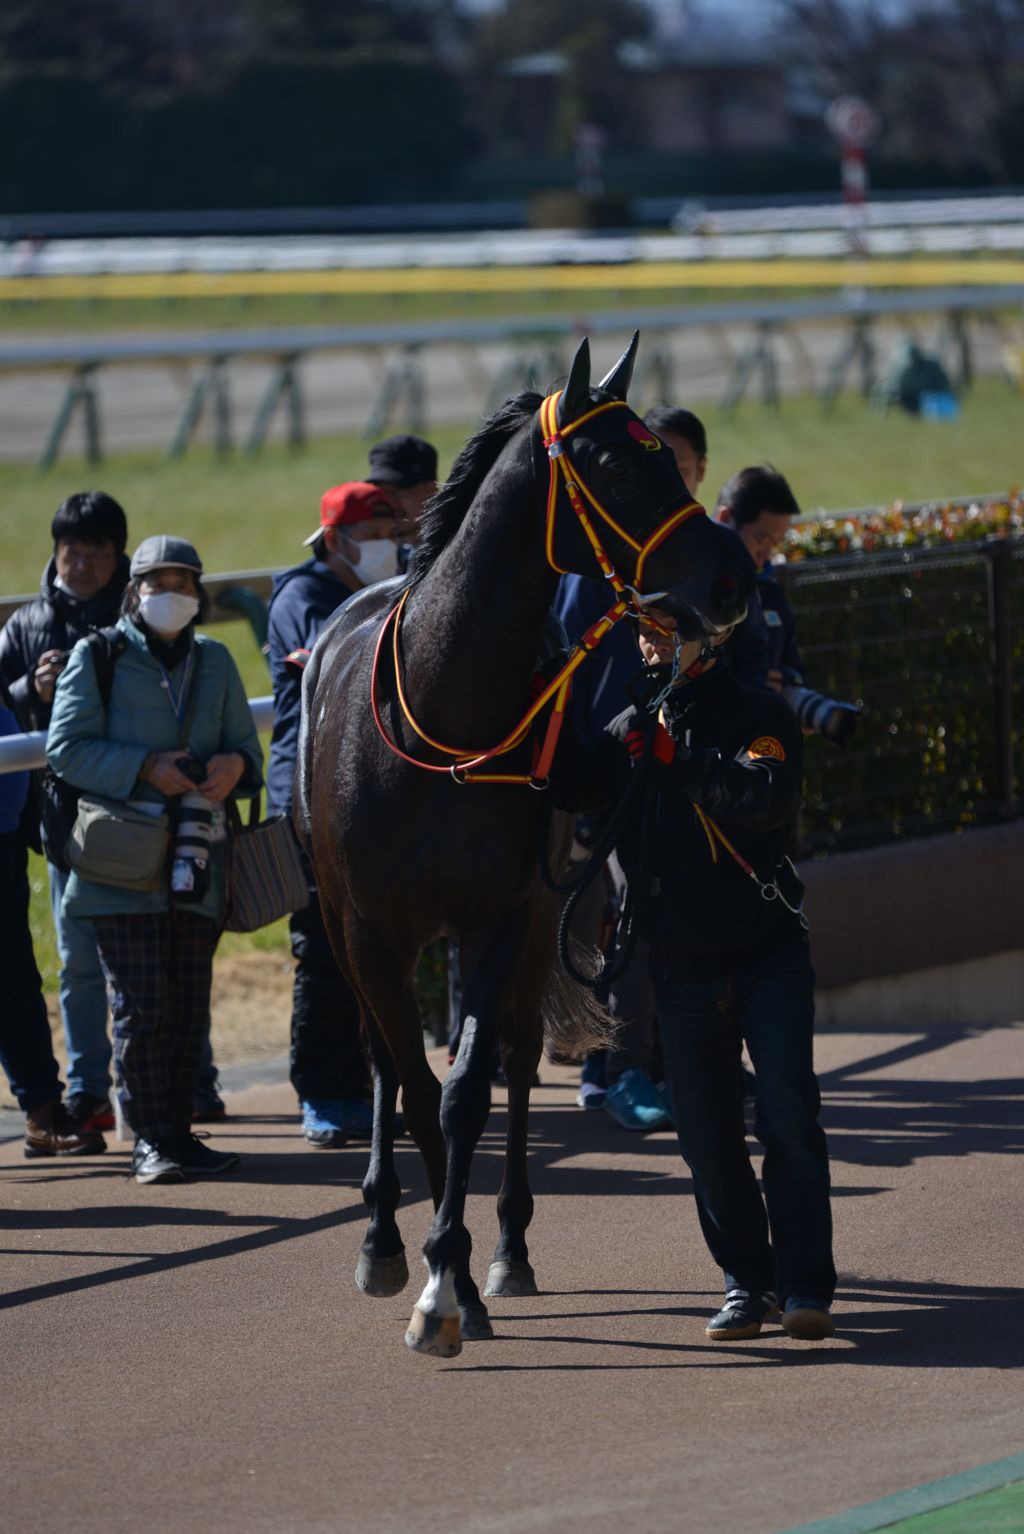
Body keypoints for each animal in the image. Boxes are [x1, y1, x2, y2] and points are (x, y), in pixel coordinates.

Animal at [295, 335, 751, 1356]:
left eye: (669, 458)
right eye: (615, 463)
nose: (733, 581)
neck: (441, 721)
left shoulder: (499, 916)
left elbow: (465, 1090)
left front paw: (457, 1279)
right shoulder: (370, 928)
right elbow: (412, 1086)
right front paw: (426, 1268)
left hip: (535, 918)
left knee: (510, 1057)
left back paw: (504, 1248)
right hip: (346, 927)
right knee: (381, 1059)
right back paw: (384, 1235)